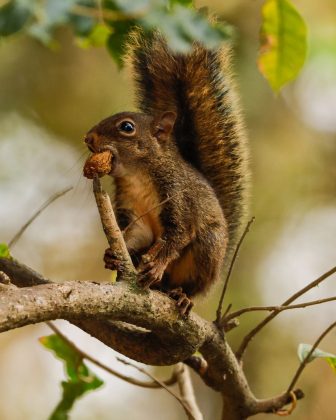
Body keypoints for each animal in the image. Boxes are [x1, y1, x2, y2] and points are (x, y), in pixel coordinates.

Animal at [83, 31, 248, 314]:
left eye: (127, 127)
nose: (88, 138)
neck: (138, 175)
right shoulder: (131, 207)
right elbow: (136, 233)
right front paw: (113, 252)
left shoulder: (179, 197)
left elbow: (179, 234)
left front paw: (157, 264)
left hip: (207, 249)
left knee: (190, 284)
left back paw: (182, 295)